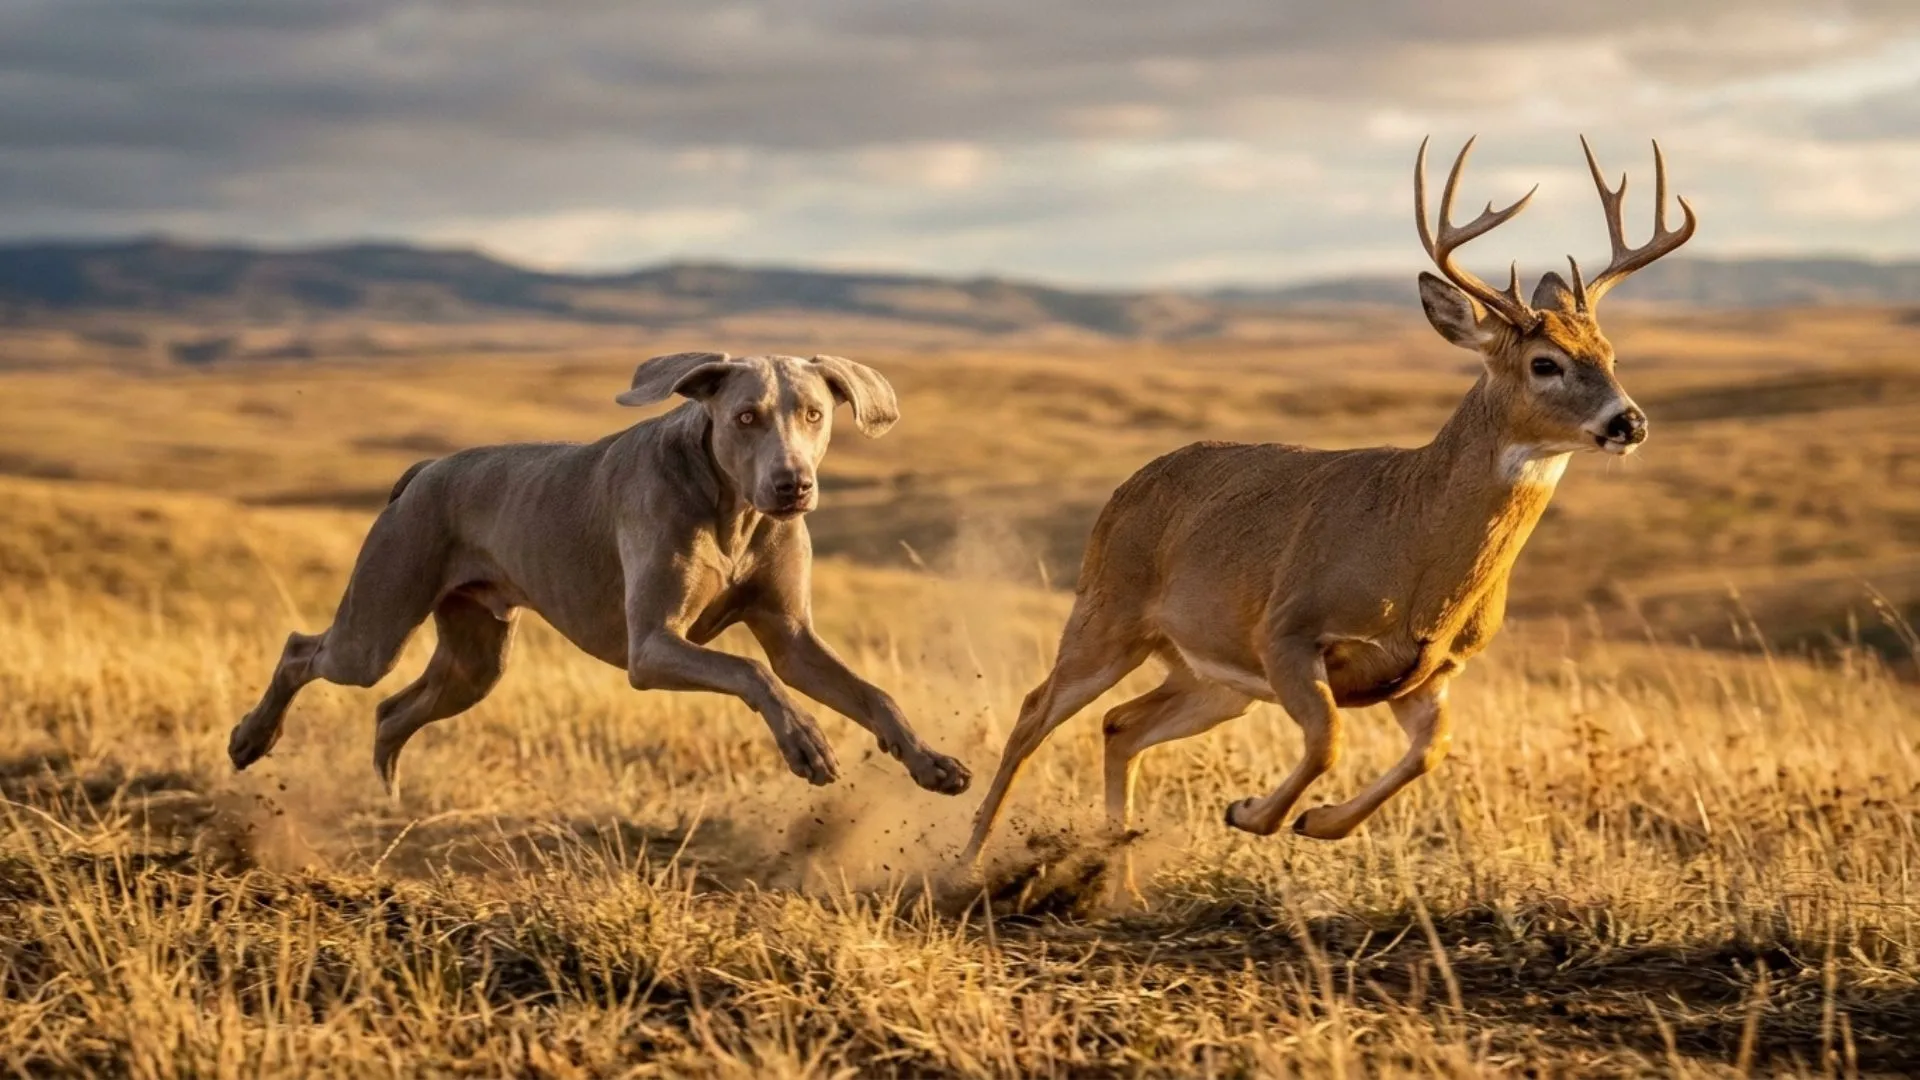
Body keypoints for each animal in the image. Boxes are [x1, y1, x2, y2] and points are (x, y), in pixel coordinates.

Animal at [960, 136, 1697, 885]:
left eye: (1610, 354)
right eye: (1545, 363)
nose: (1629, 422)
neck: (1418, 556)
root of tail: (1126, 488)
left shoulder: (1432, 672)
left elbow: (1431, 751)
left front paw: (1314, 821)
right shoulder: (1288, 628)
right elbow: (1329, 742)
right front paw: (1252, 812)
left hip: (1209, 674)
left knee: (1120, 725)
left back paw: (1117, 878)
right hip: (1109, 609)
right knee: (1034, 712)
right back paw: (967, 862)